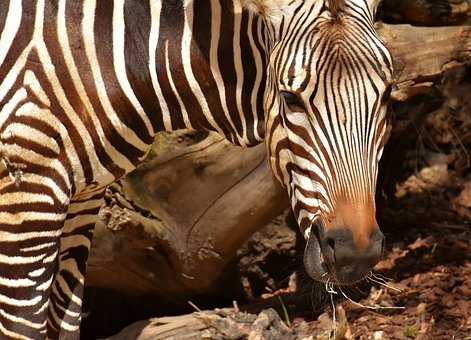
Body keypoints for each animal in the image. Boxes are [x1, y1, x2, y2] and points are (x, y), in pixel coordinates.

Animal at [0, 0, 394, 338]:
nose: (355, 253)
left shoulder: (84, 199)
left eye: (388, 94)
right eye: (289, 98)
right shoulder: (28, 196)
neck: (104, 56)